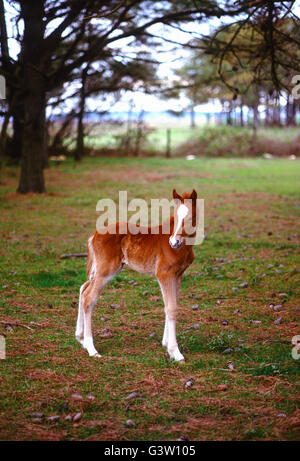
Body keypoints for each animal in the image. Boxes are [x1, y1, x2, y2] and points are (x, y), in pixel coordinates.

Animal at [75, 189, 198, 362]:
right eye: (175, 217)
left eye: (190, 218)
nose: (174, 242)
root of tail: (94, 234)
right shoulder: (164, 274)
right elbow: (172, 308)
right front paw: (176, 352)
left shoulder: (178, 275)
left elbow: (168, 305)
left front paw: (166, 344)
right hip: (106, 270)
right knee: (88, 298)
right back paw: (92, 349)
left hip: (98, 269)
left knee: (83, 289)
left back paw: (80, 338)